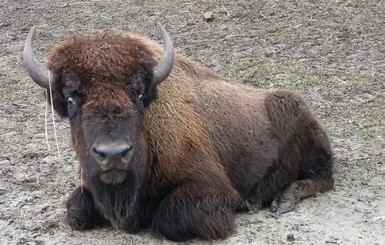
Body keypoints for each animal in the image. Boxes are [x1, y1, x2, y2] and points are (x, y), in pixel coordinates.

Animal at [24, 23, 332, 241]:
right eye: (71, 99)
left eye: (138, 94)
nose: (113, 154)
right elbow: (76, 210)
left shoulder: (211, 188)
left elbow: (167, 218)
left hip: (301, 130)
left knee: (321, 178)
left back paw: (276, 200)